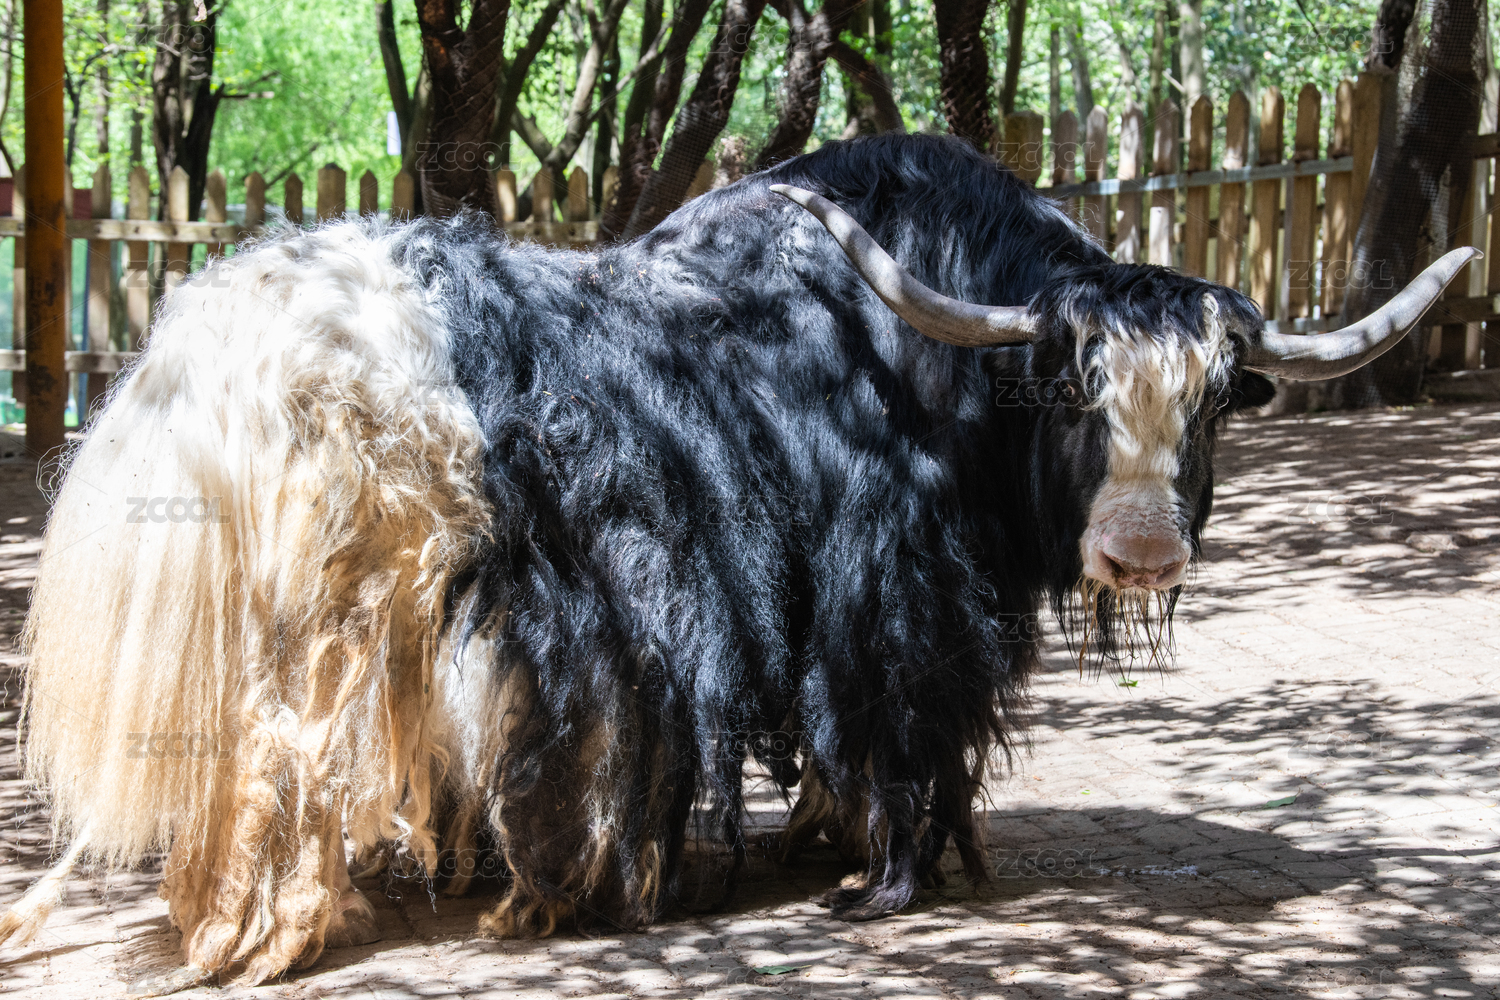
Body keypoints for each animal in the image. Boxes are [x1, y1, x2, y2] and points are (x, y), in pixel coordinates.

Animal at [2, 133, 1472, 989]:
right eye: (1065, 383)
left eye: (1216, 398)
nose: (1141, 550)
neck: (934, 355)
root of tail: (195, 360)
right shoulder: (898, 594)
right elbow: (899, 729)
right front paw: (887, 876)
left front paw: (819, 834)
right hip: (317, 623)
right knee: (277, 763)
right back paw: (261, 938)